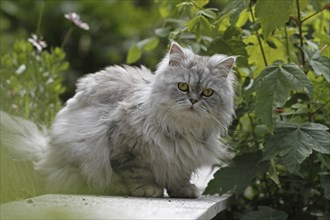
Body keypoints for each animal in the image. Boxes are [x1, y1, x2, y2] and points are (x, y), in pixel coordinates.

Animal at [0, 41, 237, 198]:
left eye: (207, 93)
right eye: (183, 86)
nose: (193, 101)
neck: (183, 129)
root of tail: (46, 153)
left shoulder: (184, 158)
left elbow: (180, 176)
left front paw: (184, 190)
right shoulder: (126, 149)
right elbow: (135, 173)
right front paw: (147, 190)